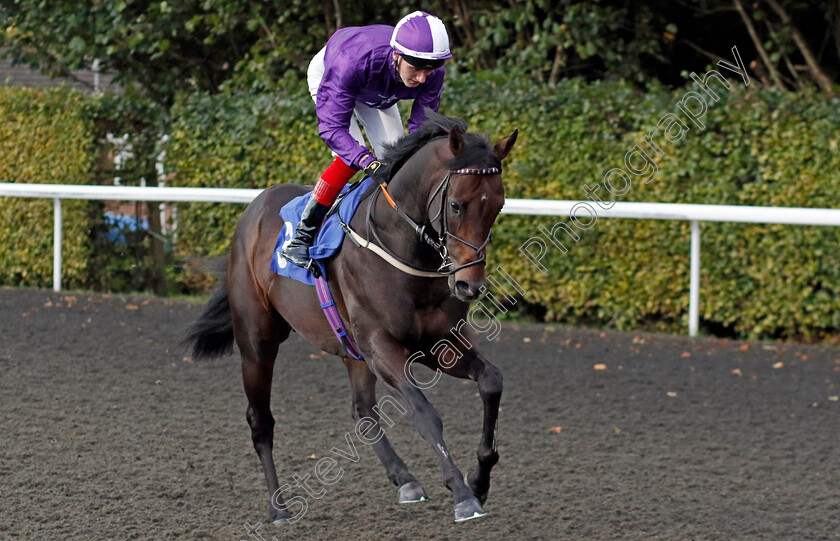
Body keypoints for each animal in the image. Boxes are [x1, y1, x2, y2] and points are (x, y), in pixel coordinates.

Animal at [180, 113, 516, 524]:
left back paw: (405, 479)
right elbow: (424, 412)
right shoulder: (382, 345)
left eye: (498, 205)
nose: (470, 284)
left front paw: (479, 478)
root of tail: (255, 208)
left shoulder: (440, 344)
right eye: (455, 205)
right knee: (261, 422)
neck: (403, 249)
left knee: (362, 411)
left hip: (351, 349)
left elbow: (491, 381)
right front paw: (463, 494)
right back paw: (279, 507)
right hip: (257, 342)